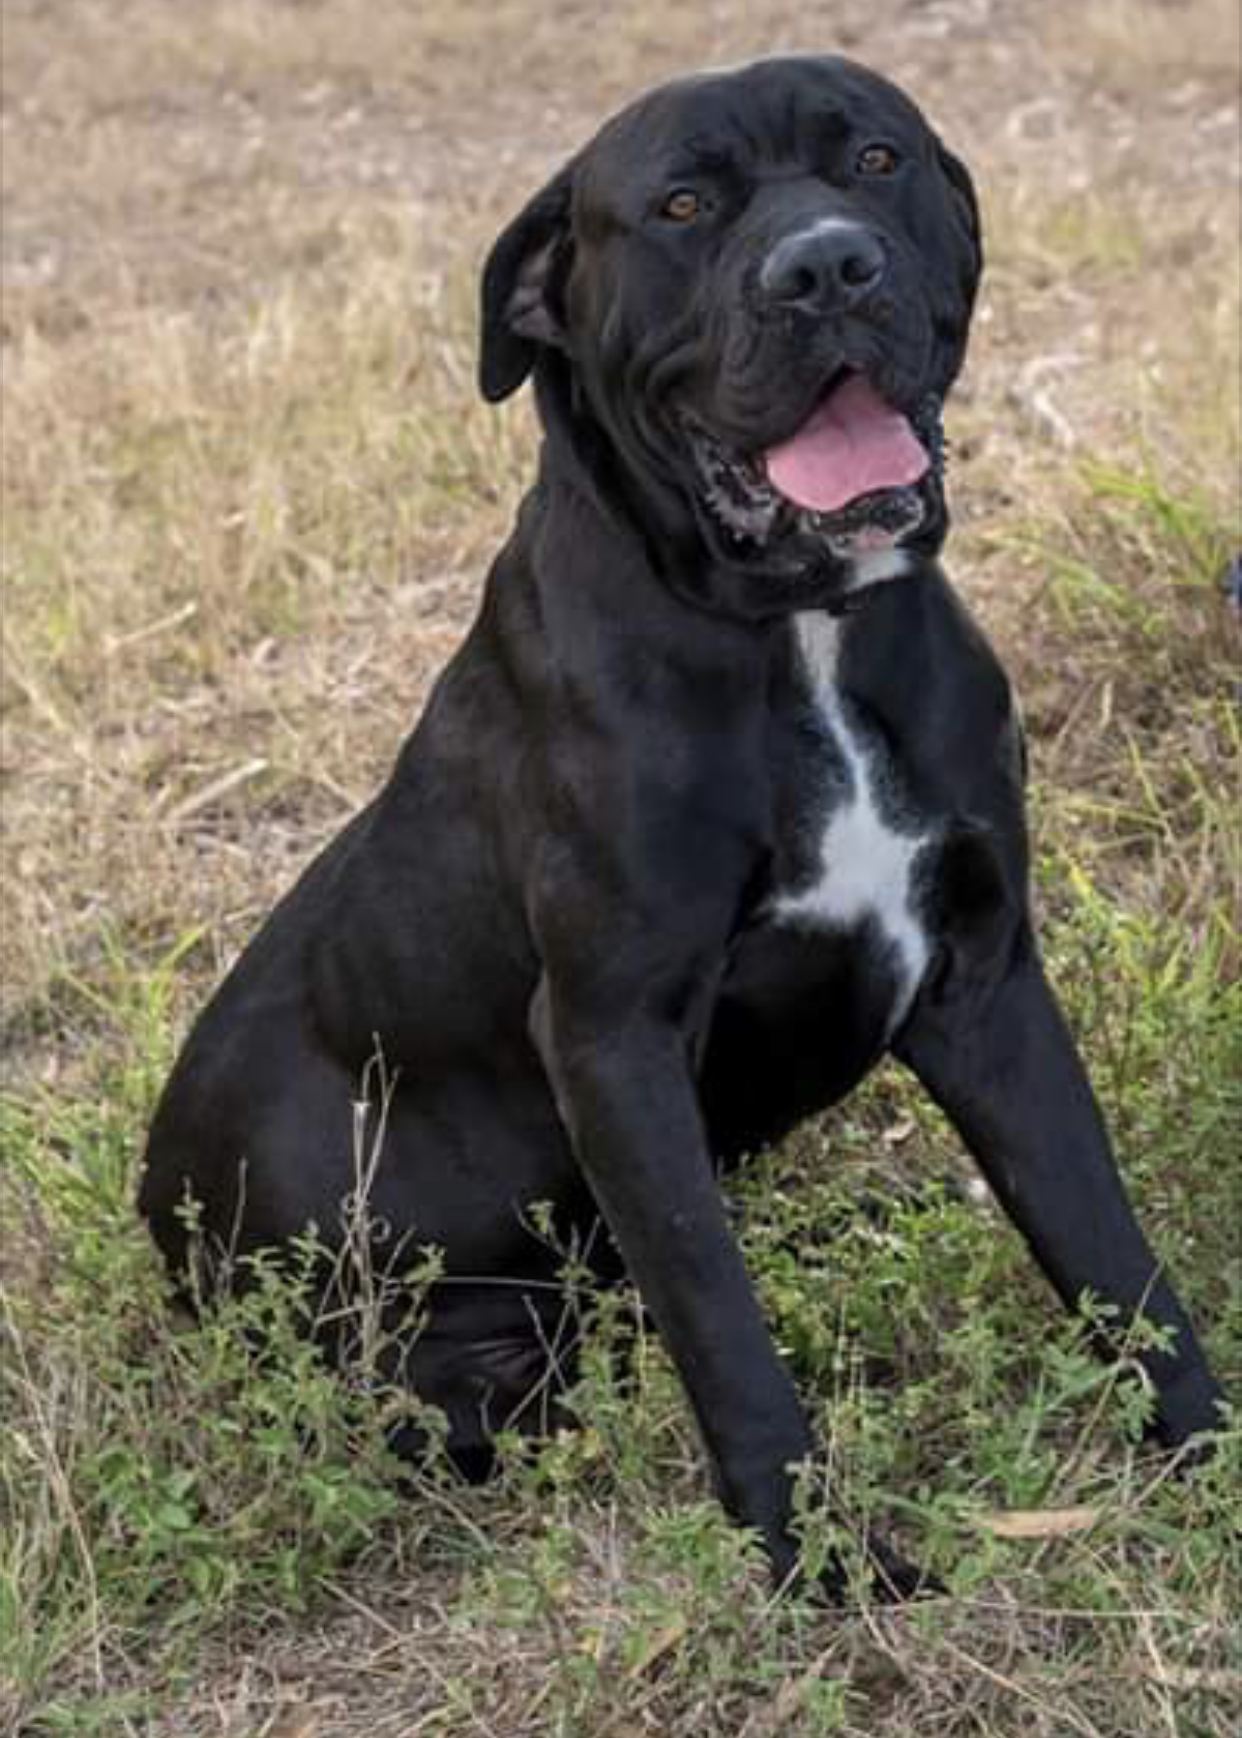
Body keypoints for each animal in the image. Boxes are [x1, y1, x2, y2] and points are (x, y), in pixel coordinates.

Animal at [140, 57, 1229, 1598]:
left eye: (875, 158)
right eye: (679, 206)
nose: (826, 266)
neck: (798, 633)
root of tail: (153, 1206)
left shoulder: (985, 973)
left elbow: (1108, 1243)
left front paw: (1206, 1448)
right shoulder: (615, 1033)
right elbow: (721, 1322)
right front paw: (819, 1562)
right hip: (459, 1360)